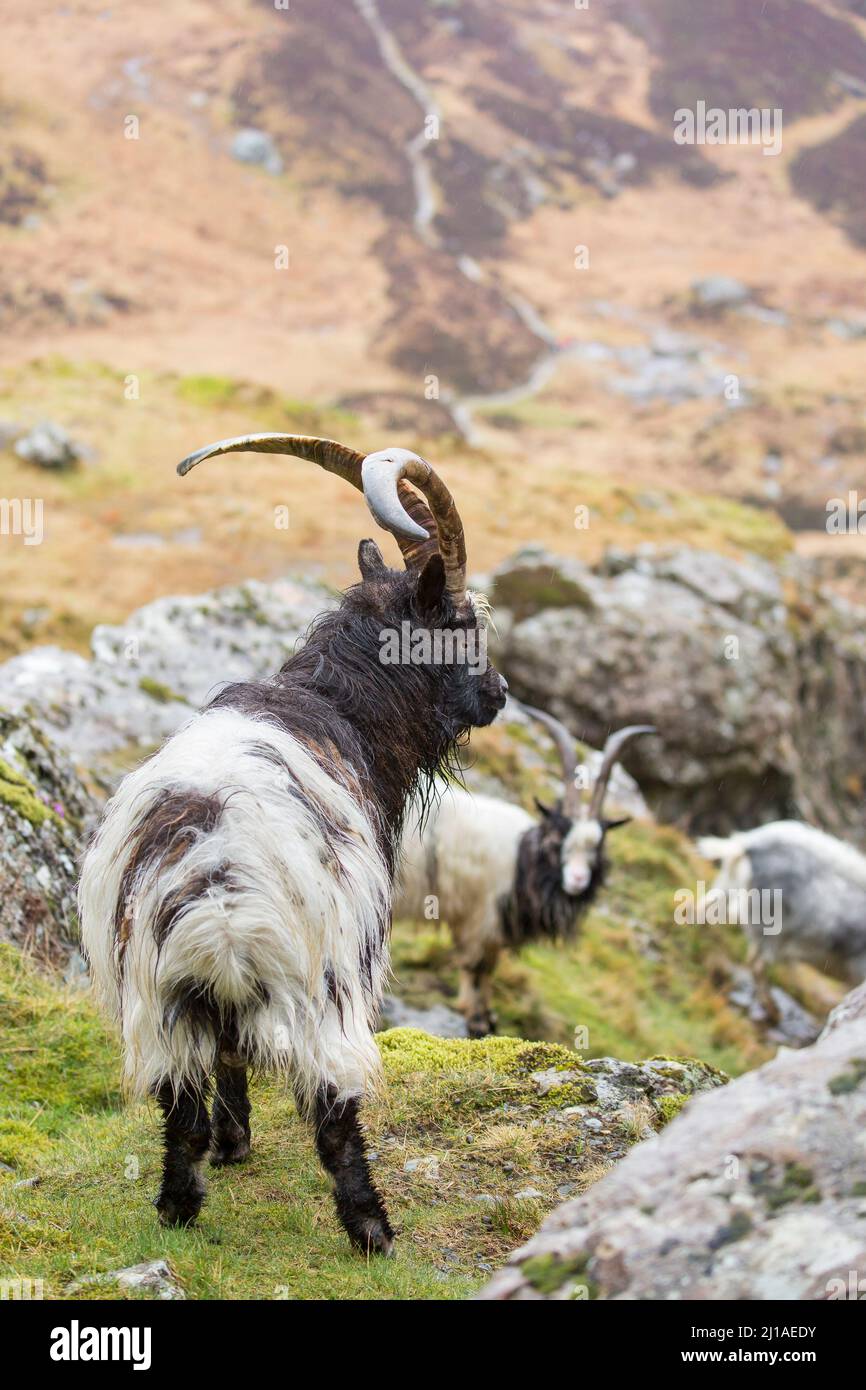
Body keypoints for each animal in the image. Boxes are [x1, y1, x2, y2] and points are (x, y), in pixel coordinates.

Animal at [79, 428, 508, 1256]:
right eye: (460, 623)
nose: (499, 694)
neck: (335, 702)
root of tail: (217, 896)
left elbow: (230, 1065)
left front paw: (235, 1145)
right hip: (323, 987)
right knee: (335, 1112)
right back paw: (373, 1230)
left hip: (161, 1001)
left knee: (182, 1106)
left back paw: (180, 1204)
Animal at [394, 706, 656, 1034]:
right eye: (556, 839)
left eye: (597, 845)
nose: (578, 880)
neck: (523, 859)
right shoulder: (480, 917)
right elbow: (476, 967)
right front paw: (477, 1020)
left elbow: (489, 968)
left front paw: (488, 1016)